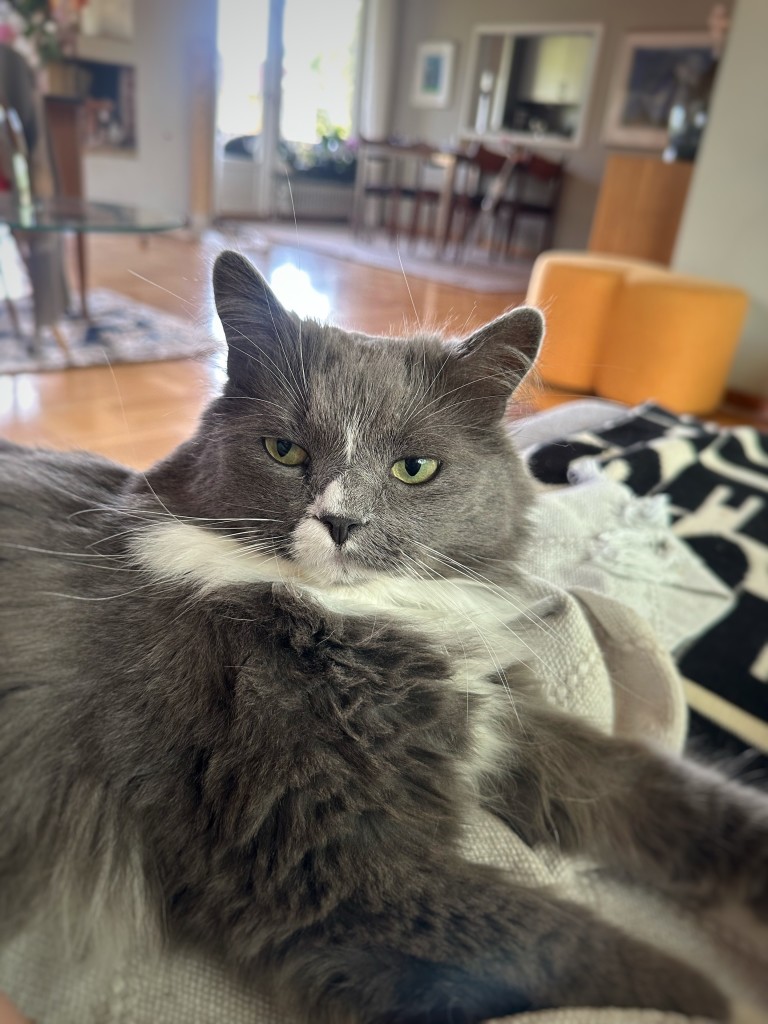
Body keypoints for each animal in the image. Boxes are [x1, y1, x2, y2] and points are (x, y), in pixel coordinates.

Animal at [1, 249, 768, 1024]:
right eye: (284, 451)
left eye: (414, 469)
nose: (340, 522)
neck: (358, 619)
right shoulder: (334, 870)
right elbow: (575, 943)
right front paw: (715, 999)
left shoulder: (507, 726)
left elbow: (662, 792)